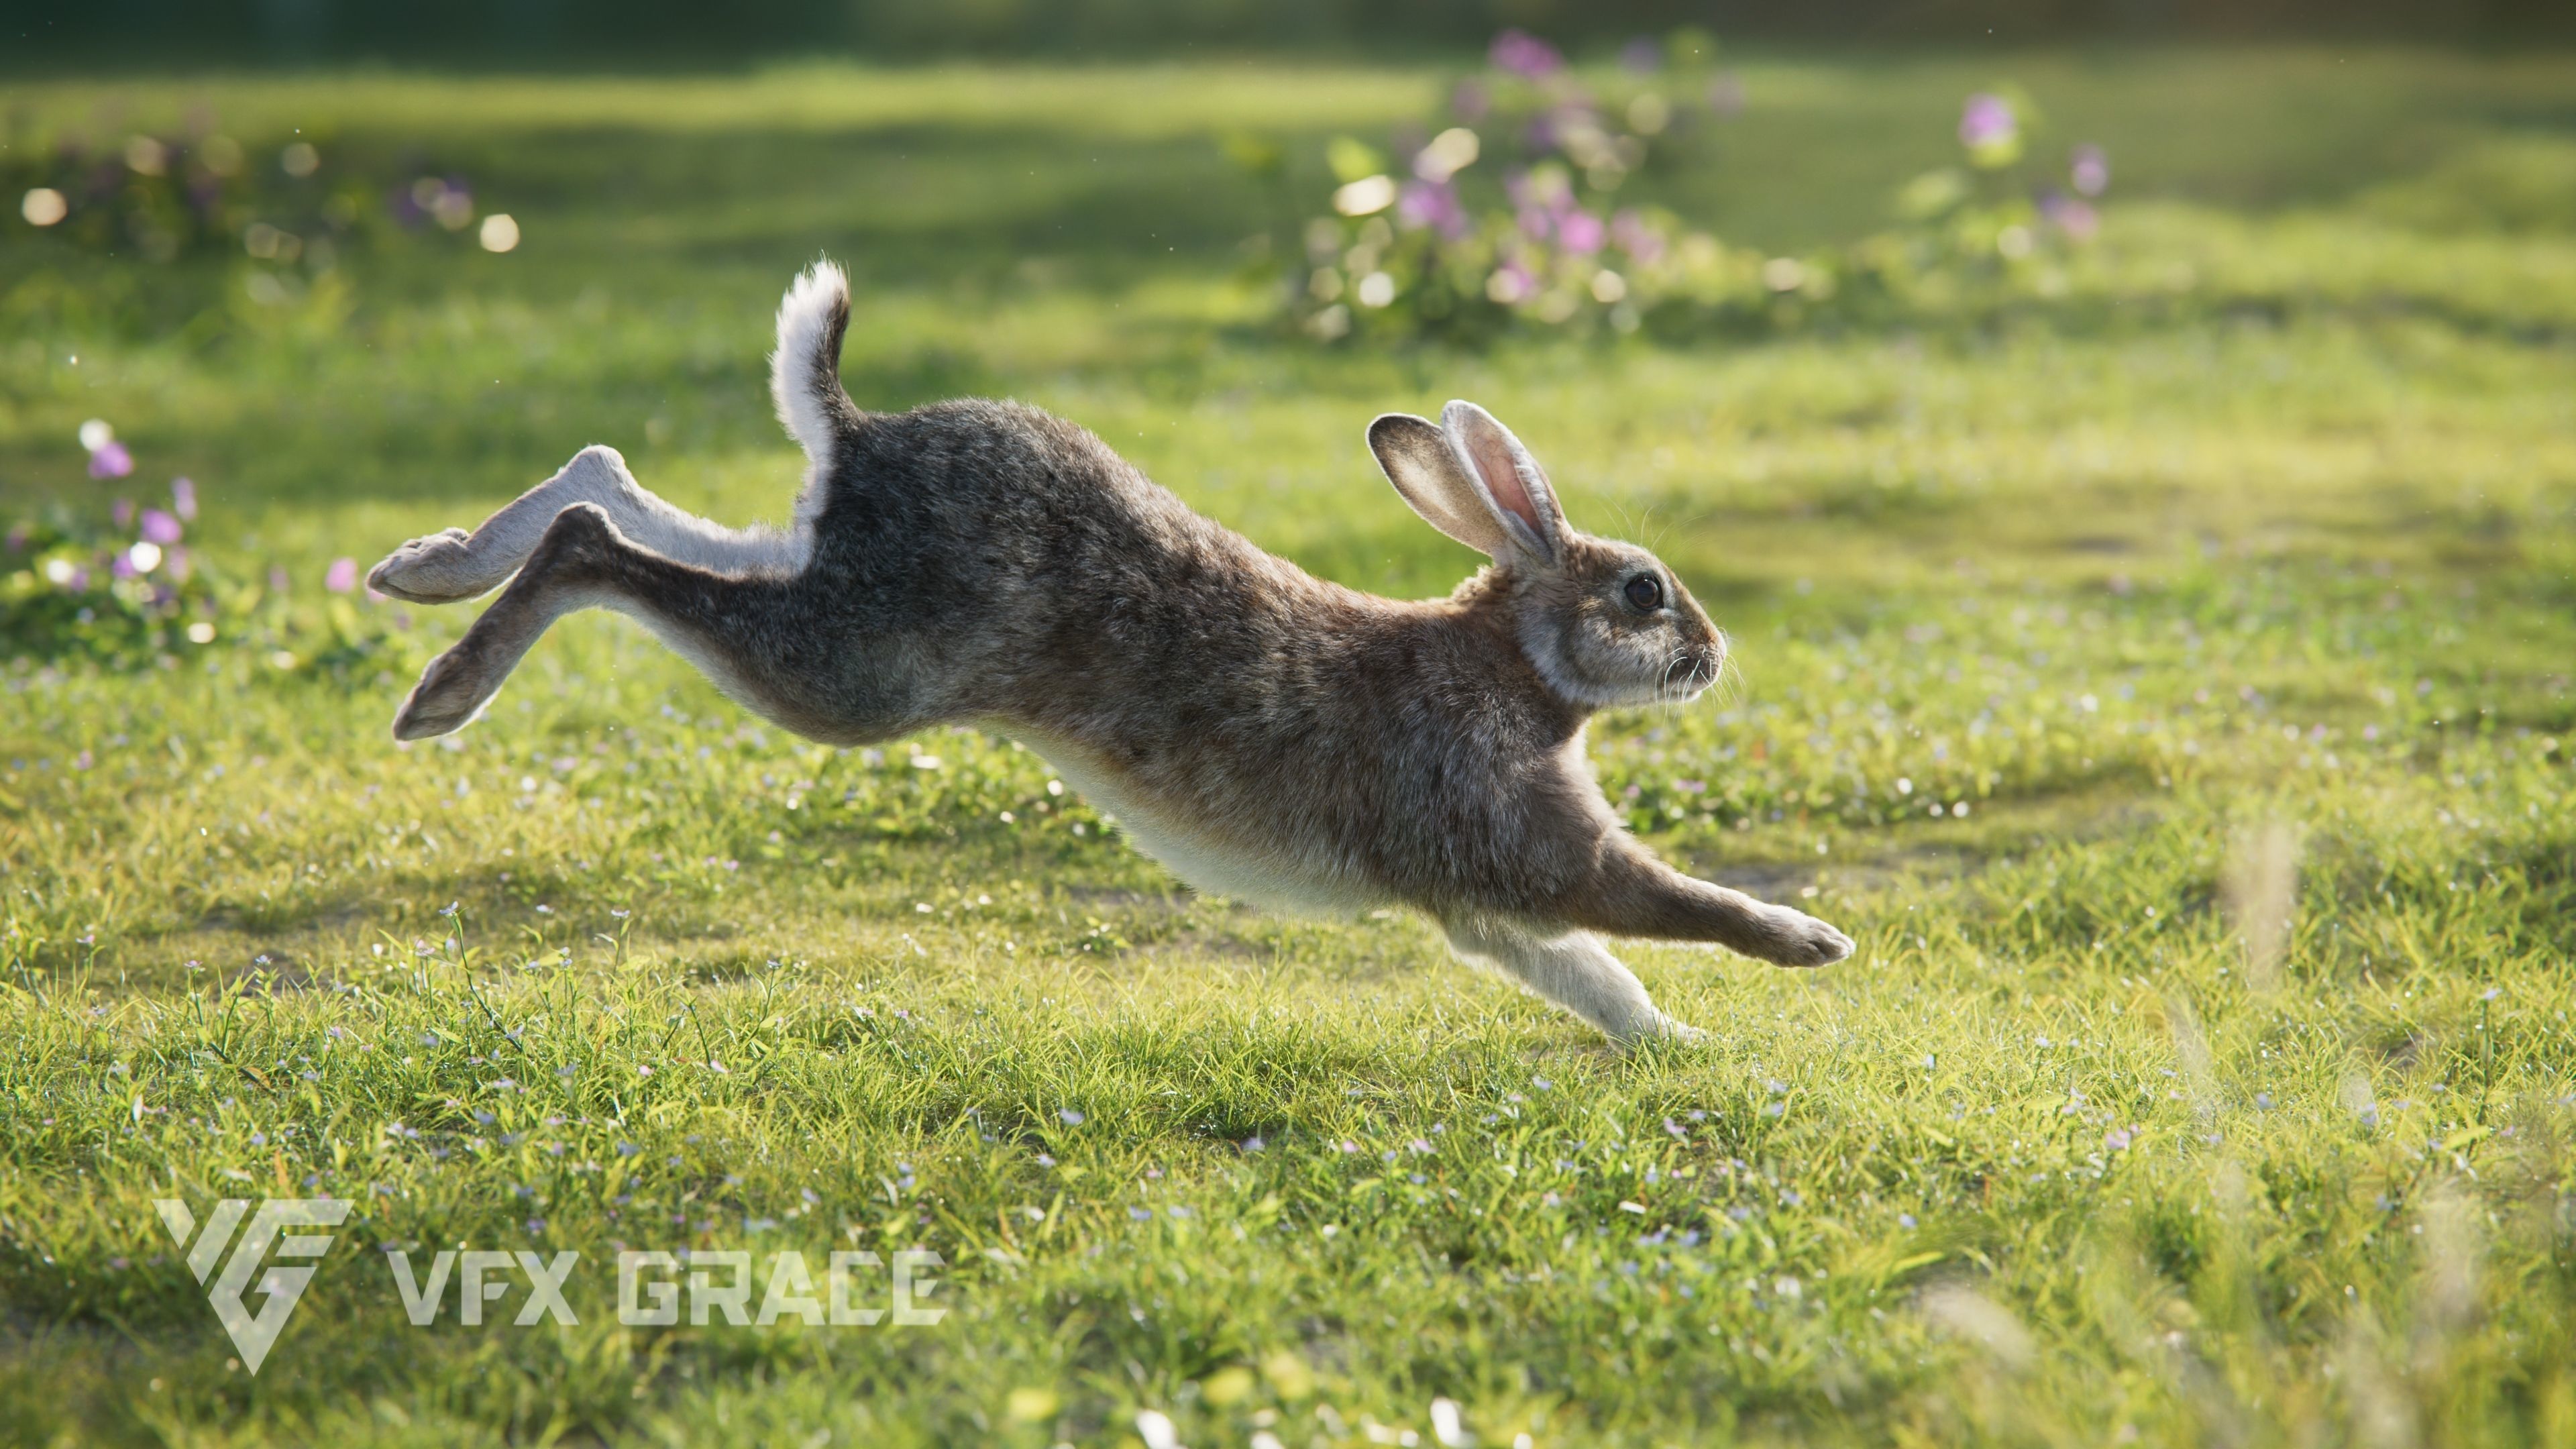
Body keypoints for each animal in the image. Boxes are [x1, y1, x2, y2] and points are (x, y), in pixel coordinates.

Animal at [369, 261, 1854, 1045]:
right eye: (1643, 592)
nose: (1714, 652)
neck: (1514, 665)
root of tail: (860, 434)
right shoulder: (1522, 842)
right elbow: (1661, 907)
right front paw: (1808, 946)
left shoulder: (1490, 908)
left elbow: (1596, 981)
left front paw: (1679, 1046)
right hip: (854, 678)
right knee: (593, 550)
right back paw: (439, 692)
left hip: (821, 585)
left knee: (610, 486)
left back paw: (422, 570)